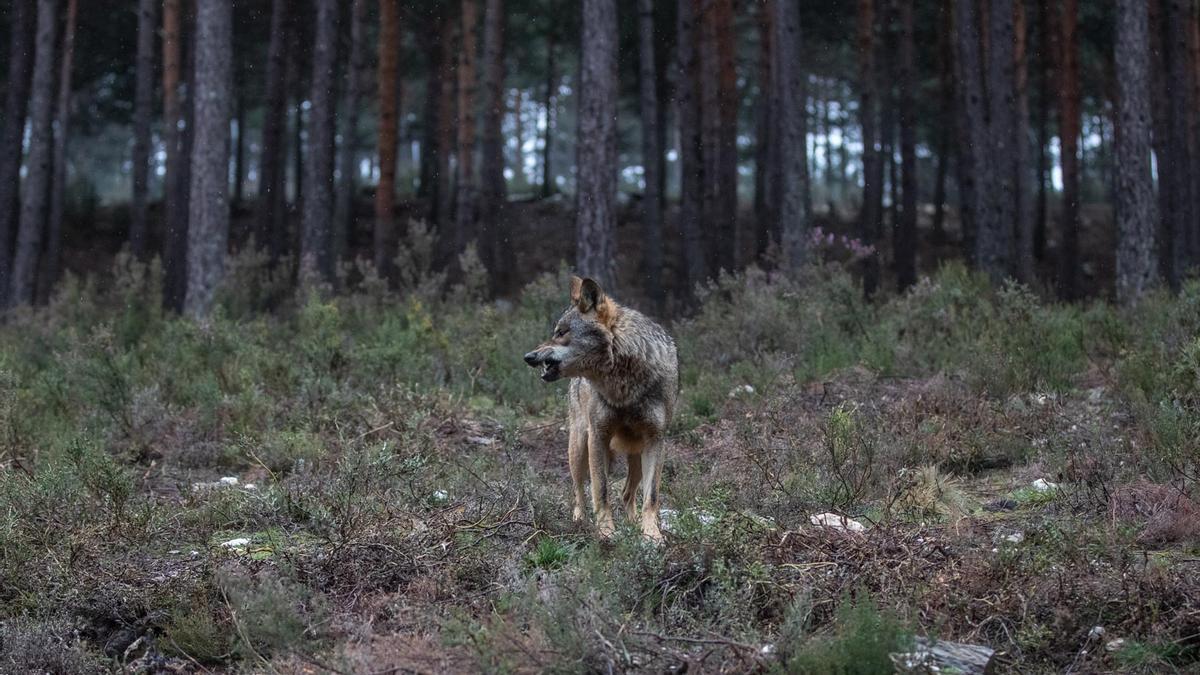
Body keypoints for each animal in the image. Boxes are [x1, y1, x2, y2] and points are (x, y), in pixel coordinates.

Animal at [523, 276, 681, 538]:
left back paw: (632, 523)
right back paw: (580, 520)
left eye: (561, 333)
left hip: (636, 453)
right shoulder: (598, 435)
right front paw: (606, 531)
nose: (528, 356)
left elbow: (651, 496)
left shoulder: (656, 440)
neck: (624, 385)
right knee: (579, 491)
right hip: (579, 447)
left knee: (627, 493)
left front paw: (651, 534)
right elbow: (600, 490)